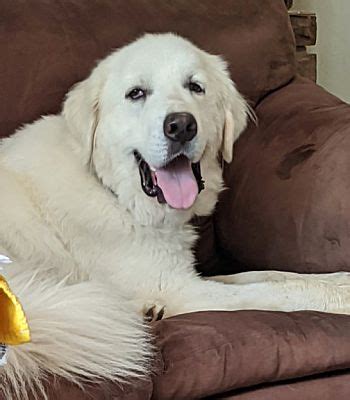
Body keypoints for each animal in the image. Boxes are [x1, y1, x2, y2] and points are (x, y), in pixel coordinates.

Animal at [0, 32, 350, 398]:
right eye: (136, 93)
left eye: (195, 87)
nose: (181, 126)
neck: (116, 193)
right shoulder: (181, 287)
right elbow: (276, 292)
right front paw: (341, 297)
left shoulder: (188, 274)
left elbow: (270, 275)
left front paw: (339, 279)